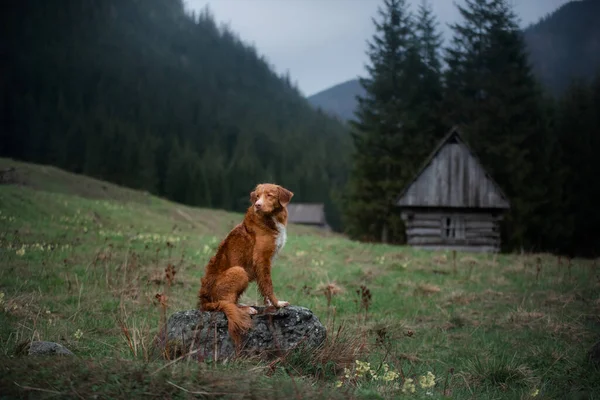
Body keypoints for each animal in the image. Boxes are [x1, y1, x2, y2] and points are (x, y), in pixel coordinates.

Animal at [198, 183, 294, 348]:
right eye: (257, 196)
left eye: (269, 195)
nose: (258, 205)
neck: (270, 219)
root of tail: (204, 300)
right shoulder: (261, 259)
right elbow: (268, 284)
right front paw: (277, 304)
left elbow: (263, 285)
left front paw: (268, 303)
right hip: (239, 271)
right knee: (226, 303)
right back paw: (246, 309)